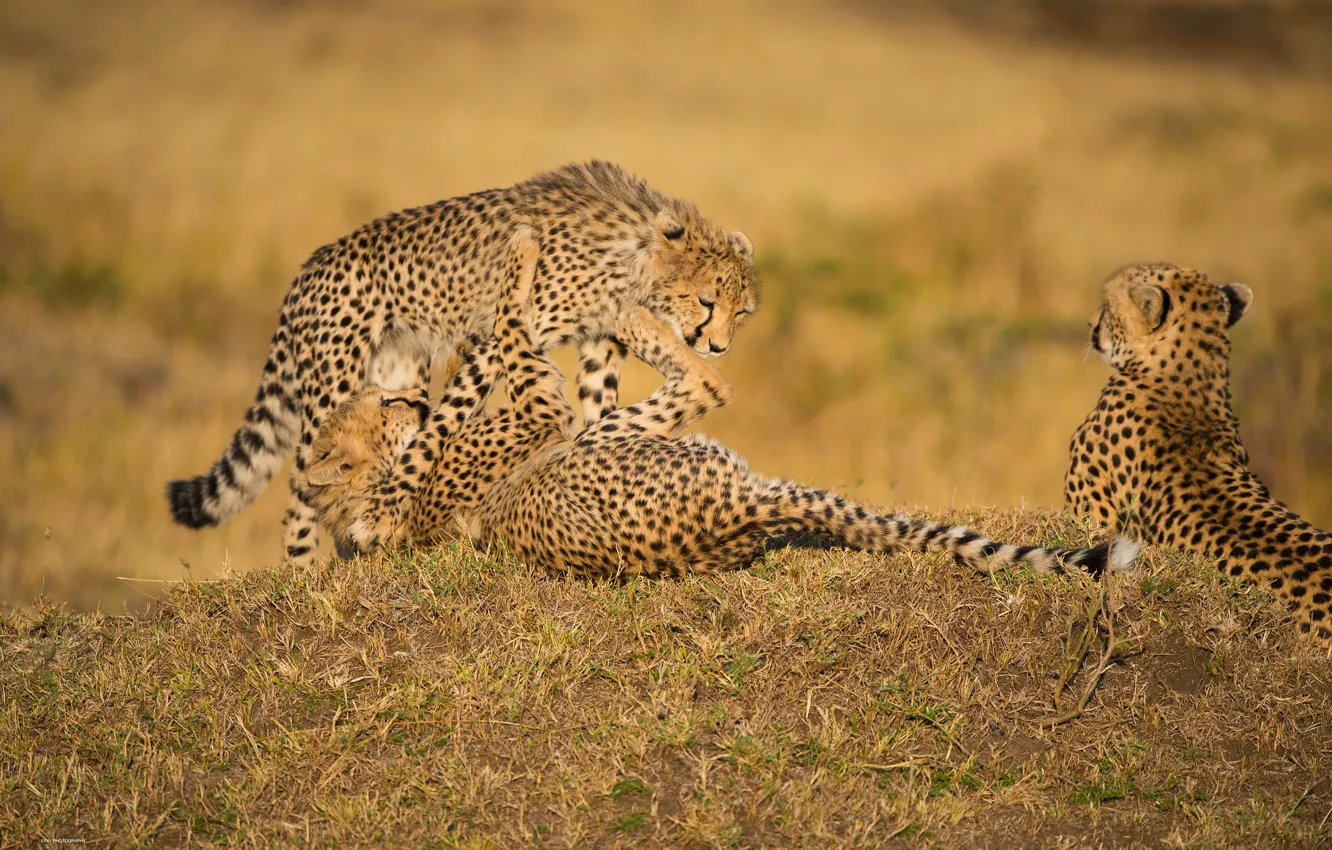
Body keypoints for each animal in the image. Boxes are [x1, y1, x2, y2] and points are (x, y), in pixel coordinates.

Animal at [166, 161, 757, 566]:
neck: (635, 252)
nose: (718, 347)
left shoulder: (596, 344)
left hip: (395, 370)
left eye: (742, 313)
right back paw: (303, 573)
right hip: (332, 384)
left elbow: (599, 409)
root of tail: (308, 268)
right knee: (302, 493)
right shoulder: (492, 340)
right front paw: (383, 512)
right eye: (707, 302)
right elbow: (441, 425)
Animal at [301, 227, 1140, 581]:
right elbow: (522, 327)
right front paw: (527, 253)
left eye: (379, 402)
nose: (409, 399)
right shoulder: (549, 414)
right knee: (701, 386)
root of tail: (740, 511)